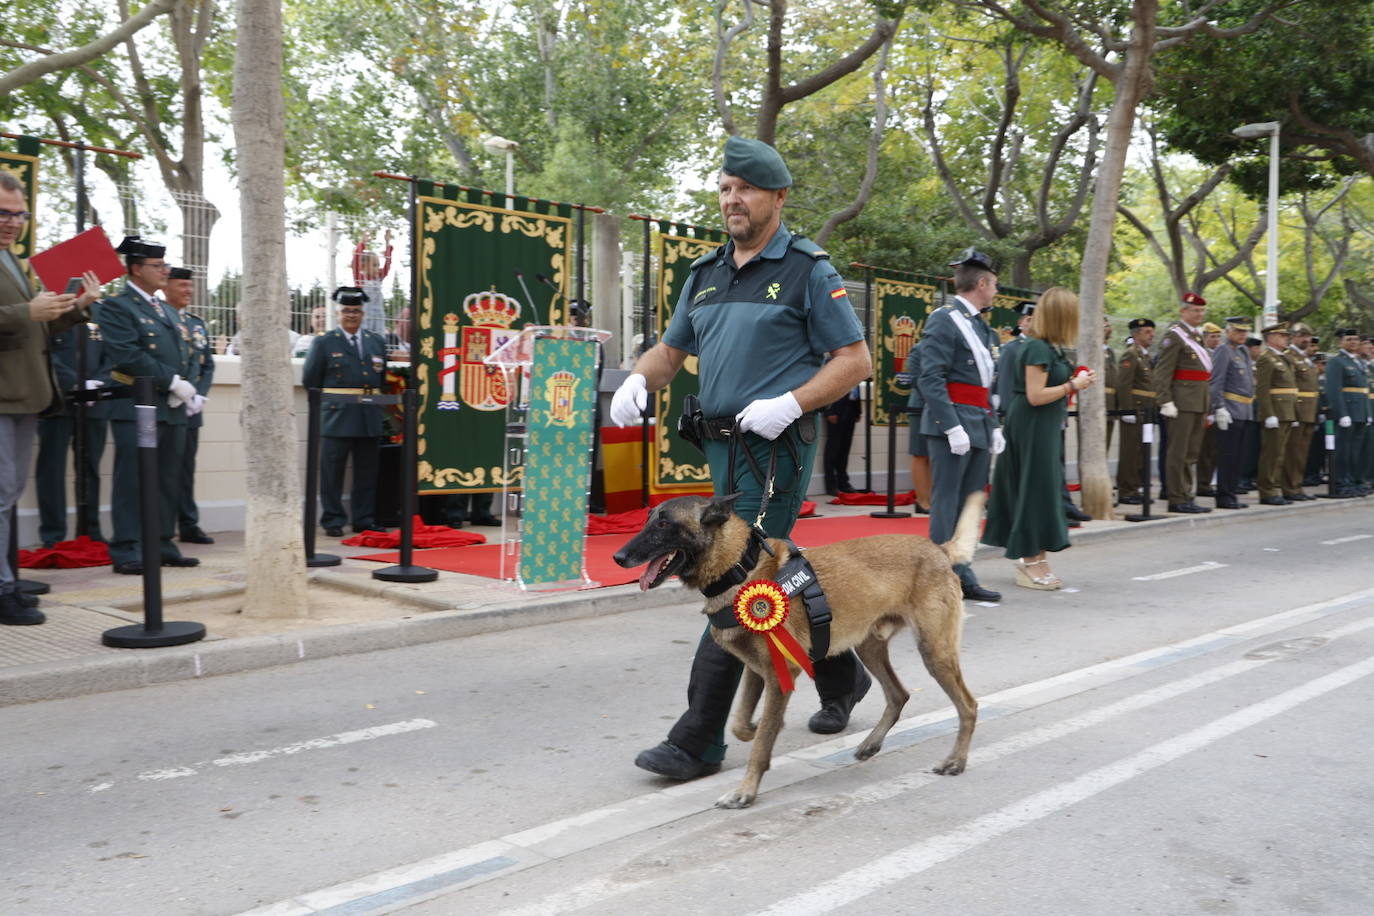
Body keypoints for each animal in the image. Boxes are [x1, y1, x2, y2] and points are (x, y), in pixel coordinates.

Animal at [612, 494, 978, 807]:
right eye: (647, 519)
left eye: (664, 524)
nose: (618, 557)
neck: (740, 568)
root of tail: (938, 550)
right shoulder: (758, 672)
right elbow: (742, 724)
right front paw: (757, 728)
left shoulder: (780, 674)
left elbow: (760, 744)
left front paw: (745, 790)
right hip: (870, 648)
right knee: (899, 695)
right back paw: (871, 744)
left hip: (935, 652)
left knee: (968, 706)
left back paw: (956, 760)